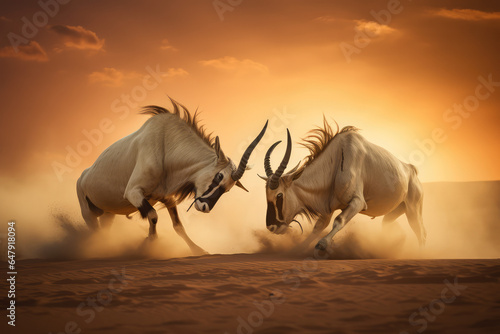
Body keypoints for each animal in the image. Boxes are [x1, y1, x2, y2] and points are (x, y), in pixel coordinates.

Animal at [76, 98, 268, 254]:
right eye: (219, 176)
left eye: (228, 189)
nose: (205, 207)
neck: (166, 144)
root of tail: (84, 176)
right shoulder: (133, 192)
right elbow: (153, 215)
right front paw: (149, 243)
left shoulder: (167, 198)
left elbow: (178, 226)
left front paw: (198, 250)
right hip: (88, 214)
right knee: (95, 231)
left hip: (109, 214)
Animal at [262, 118, 426, 252]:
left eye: (279, 195)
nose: (271, 227)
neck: (336, 159)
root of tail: (411, 170)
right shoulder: (328, 207)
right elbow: (318, 227)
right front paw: (297, 248)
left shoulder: (358, 203)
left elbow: (339, 220)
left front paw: (322, 244)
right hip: (394, 213)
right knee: (390, 227)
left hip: (413, 210)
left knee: (421, 233)